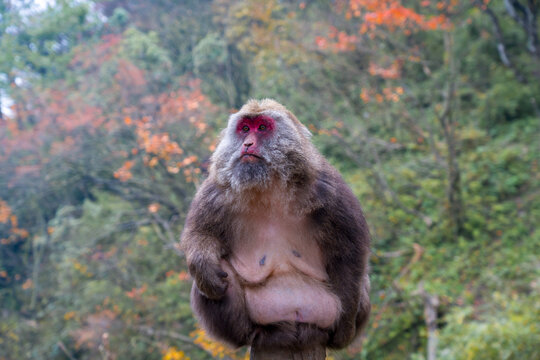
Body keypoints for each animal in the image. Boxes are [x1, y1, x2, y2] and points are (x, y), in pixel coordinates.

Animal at [182, 99, 372, 352]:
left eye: (262, 127)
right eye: (245, 129)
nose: (247, 143)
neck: (269, 185)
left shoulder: (329, 187)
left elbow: (350, 252)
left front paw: (345, 327)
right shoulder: (216, 190)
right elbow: (201, 234)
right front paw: (202, 262)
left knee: (362, 281)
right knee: (218, 275)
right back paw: (254, 333)